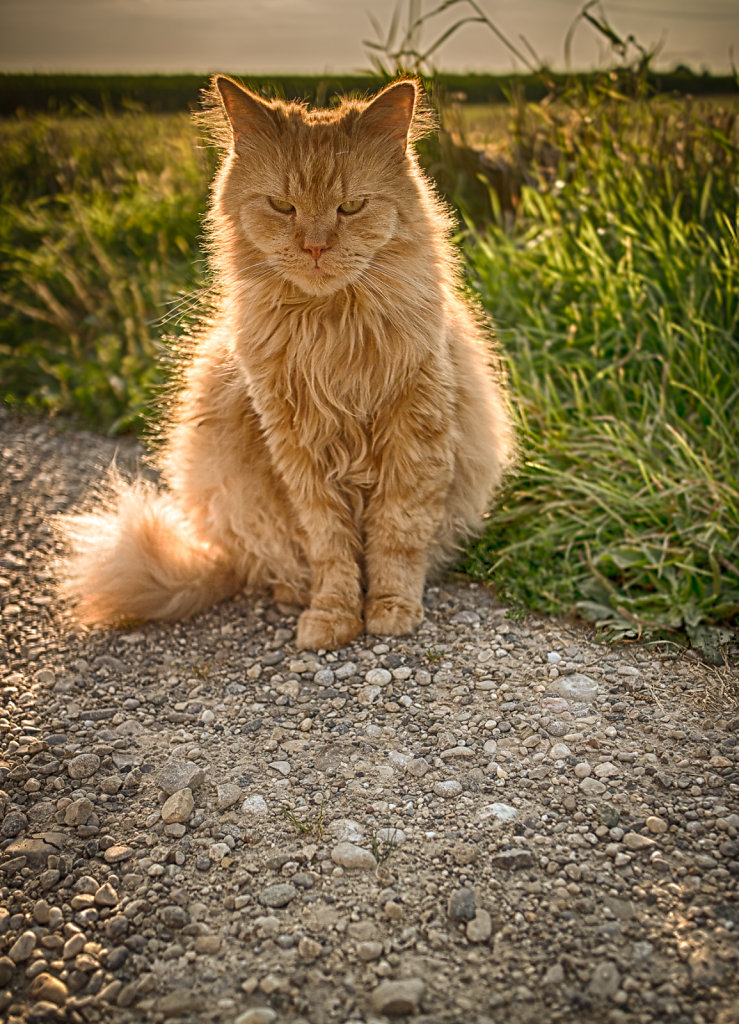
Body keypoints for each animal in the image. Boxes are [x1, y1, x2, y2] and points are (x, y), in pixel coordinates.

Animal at [60, 75, 511, 647]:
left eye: (351, 206)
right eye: (282, 205)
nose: (316, 247)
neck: (331, 333)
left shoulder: (415, 435)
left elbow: (398, 536)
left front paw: (391, 608)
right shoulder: (298, 451)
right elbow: (330, 548)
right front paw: (334, 615)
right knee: (272, 565)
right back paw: (295, 593)